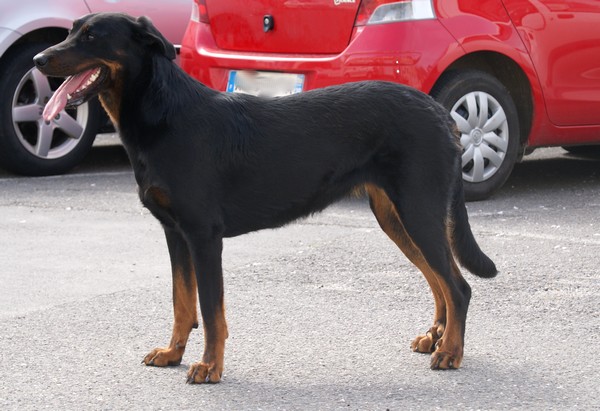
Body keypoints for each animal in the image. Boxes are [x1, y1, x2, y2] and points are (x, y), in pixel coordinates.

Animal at [35, 13, 500, 386]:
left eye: (92, 36)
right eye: (72, 32)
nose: (38, 60)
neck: (162, 112)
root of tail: (442, 114)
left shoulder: (204, 236)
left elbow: (211, 310)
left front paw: (210, 367)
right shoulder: (175, 233)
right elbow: (182, 302)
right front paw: (173, 354)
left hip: (418, 210)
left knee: (457, 286)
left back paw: (450, 352)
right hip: (396, 216)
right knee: (438, 280)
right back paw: (436, 337)